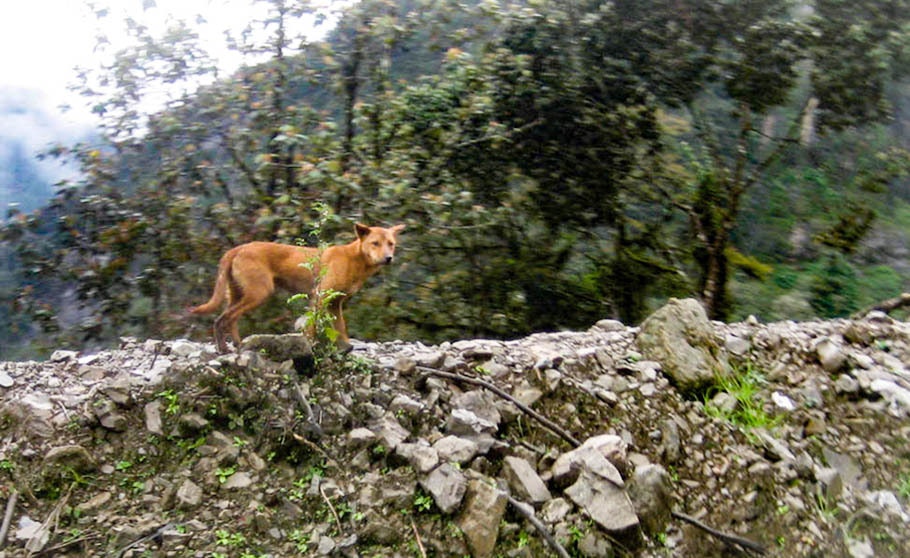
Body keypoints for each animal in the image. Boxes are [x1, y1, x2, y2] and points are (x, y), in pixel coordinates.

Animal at [191, 223, 404, 354]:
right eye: (375, 243)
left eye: (391, 244)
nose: (388, 258)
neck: (353, 261)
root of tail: (237, 248)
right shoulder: (319, 297)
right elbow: (311, 328)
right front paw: (310, 346)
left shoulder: (335, 303)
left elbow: (340, 328)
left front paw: (345, 347)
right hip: (259, 293)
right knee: (224, 319)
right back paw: (225, 349)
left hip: (239, 295)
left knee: (227, 319)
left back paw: (235, 345)